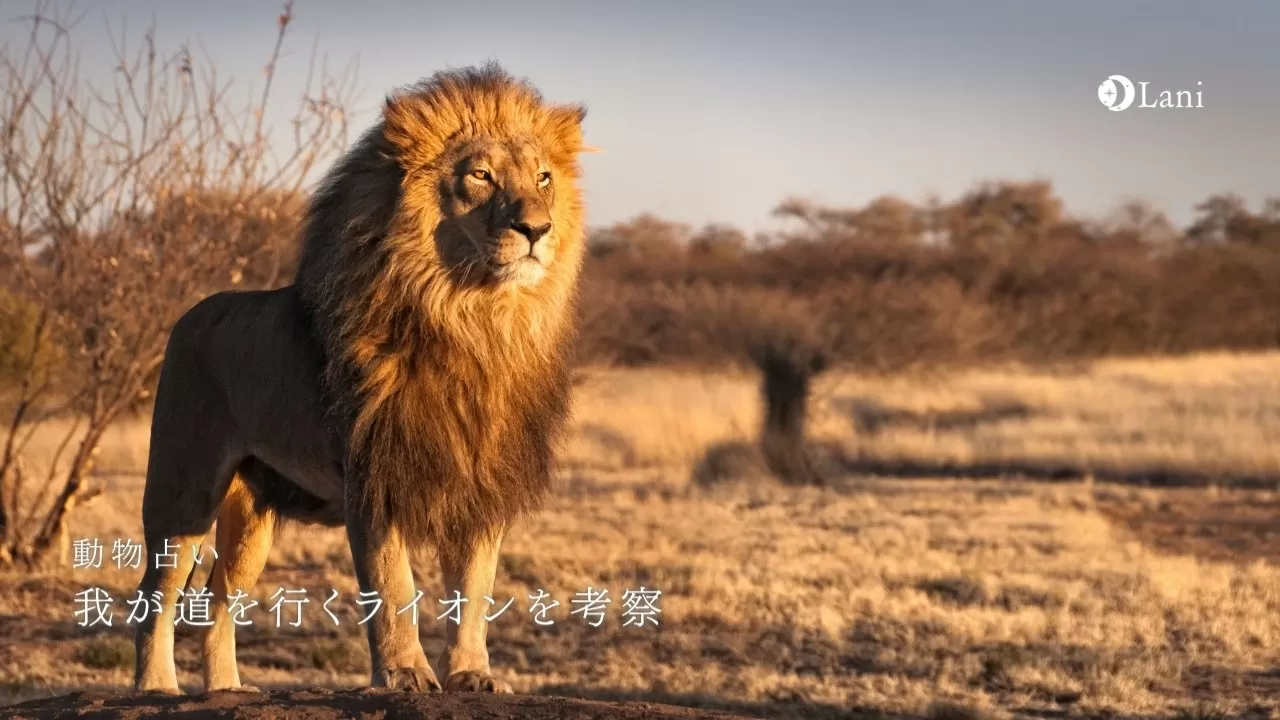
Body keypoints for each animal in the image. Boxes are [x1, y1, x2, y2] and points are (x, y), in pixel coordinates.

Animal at [132, 64, 591, 691]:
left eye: (544, 177)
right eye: (480, 175)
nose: (537, 229)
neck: (475, 321)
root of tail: (189, 315)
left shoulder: (480, 482)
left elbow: (474, 589)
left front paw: (471, 674)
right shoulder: (374, 475)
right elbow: (393, 587)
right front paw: (405, 674)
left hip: (252, 516)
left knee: (217, 600)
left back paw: (225, 689)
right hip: (184, 488)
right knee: (155, 594)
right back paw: (155, 687)